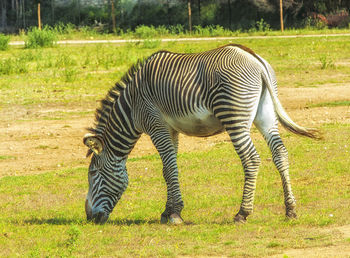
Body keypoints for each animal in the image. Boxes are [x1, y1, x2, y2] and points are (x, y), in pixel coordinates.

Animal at [83, 43, 318, 224]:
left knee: (251, 160)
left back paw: (242, 213)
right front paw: (168, 211)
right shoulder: (171, 130)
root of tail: (255, 60)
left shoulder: (156, 127)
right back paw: (290, 210)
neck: (131, 107)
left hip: (234, 117)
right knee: (280, 153)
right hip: (265, 114)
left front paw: (174, 214)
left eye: (93, 173)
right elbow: (169, 169)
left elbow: (168, 169)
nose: (89, 218)